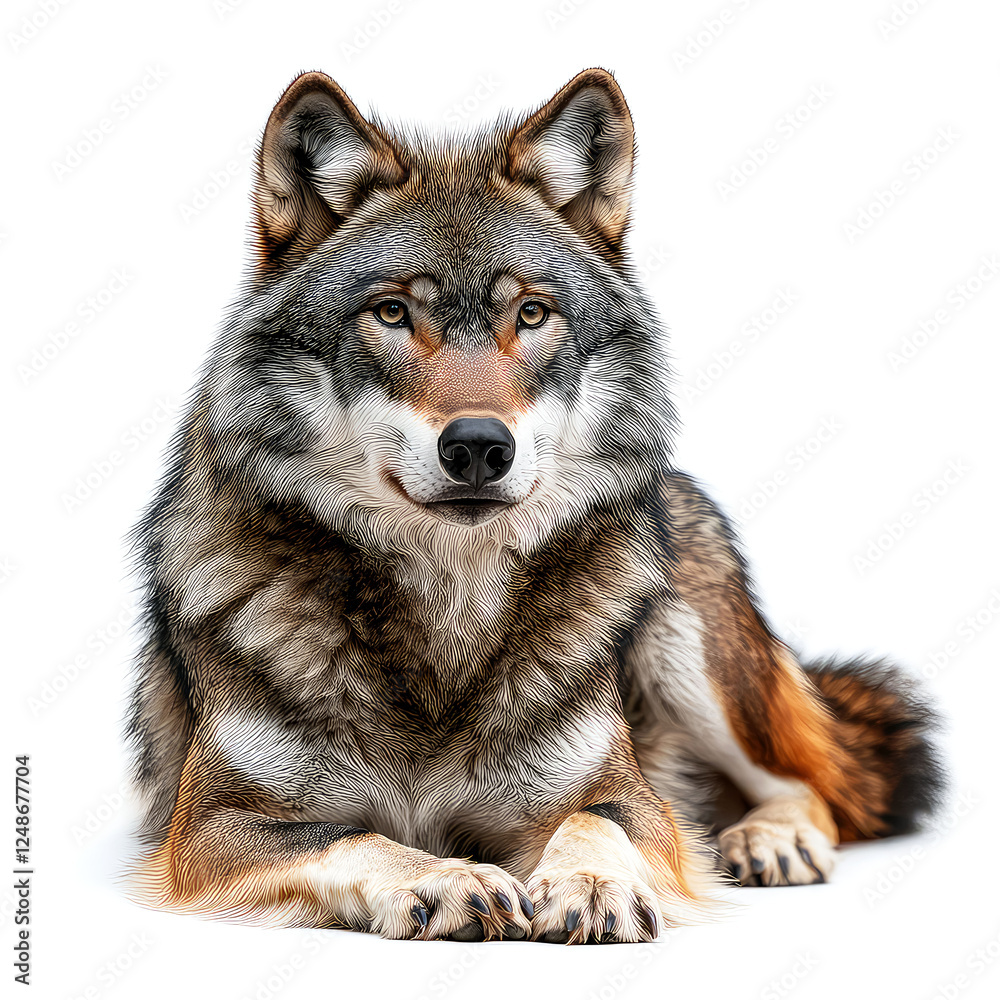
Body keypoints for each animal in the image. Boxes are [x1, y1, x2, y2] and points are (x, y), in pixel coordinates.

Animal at [125, 68, 944, 943]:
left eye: (531, 313)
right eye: (391, 312)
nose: (479, 446)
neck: (447, 621)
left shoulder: (629, 798)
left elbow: (596, 818)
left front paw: (590, 883)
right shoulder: (211, 826)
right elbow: (357, 837)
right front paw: (448, 877)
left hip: (691, 653)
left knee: (815, 785)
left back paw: (769, 840)